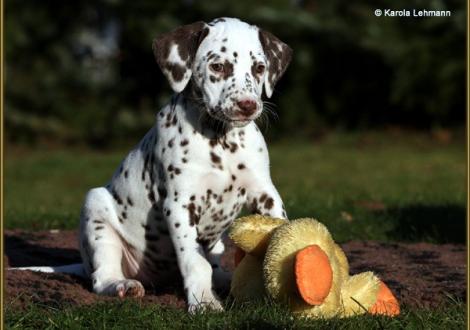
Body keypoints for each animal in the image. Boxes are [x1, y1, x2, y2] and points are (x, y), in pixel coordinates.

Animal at [20, 17, 292, 312]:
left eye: (259, 68)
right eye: (218, 66)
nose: (248, 105)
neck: (221, 141)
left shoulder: (265, 194)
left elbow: (281, 228)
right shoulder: (180, 204)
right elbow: (194, 261)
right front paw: (204, 302)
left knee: (216, 267)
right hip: (96, 212)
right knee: (102, 276)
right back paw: (122, 285)